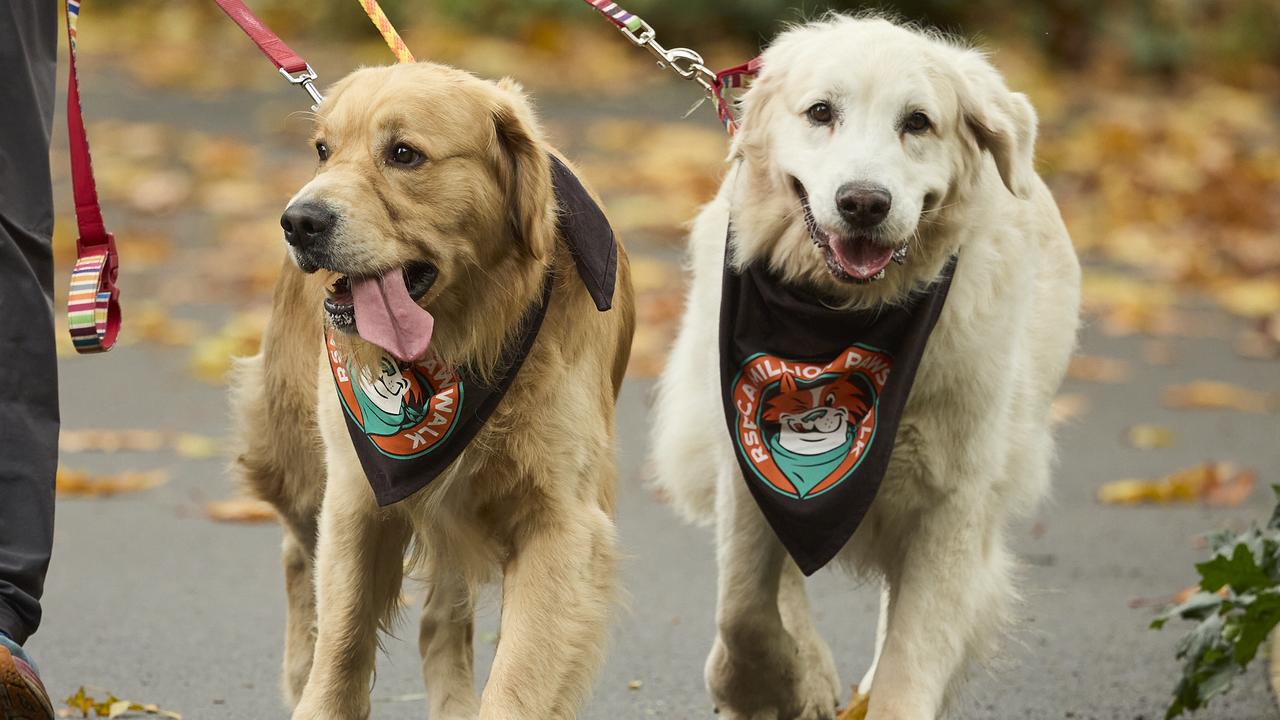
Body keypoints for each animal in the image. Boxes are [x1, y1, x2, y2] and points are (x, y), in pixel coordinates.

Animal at [650, 15, 1080, 717]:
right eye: (822, 112)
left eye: (918, 123)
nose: (863, 203)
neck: (841, 314)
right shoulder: (745, 454)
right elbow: (743, 608)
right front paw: (775, 682)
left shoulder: (953, 496)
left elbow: (913, 648)